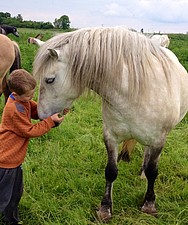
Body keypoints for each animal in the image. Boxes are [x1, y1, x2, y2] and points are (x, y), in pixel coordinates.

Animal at [32, 27, 188, 222]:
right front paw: (105, 208)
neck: (134, 90)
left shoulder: (159, 139)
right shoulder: (111, 136)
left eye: (50, 80)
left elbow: (153, 171)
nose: (40, 115)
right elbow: (111, 171)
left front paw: (149, 204)